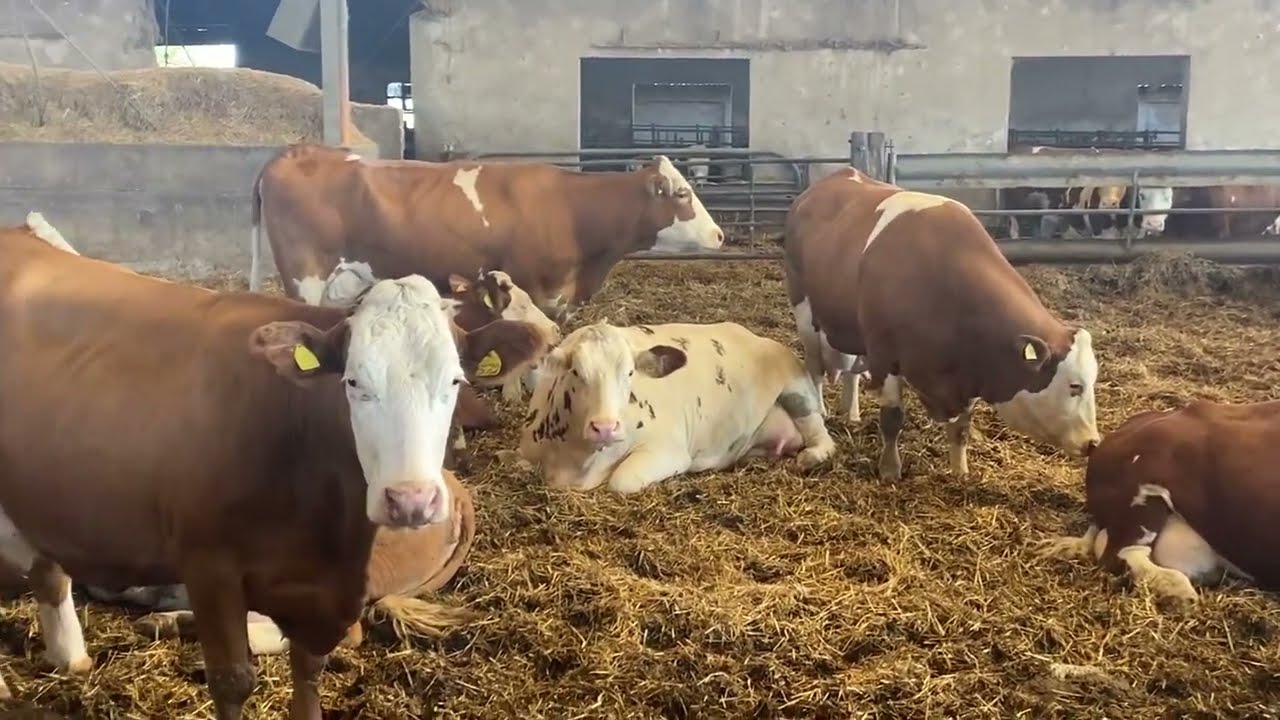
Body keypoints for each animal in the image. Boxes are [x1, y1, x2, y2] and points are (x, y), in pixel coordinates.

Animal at [517, 320, 837, 495]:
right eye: (576, 372)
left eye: (630, 373)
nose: (606, 427)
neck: (578, 463)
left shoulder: (667, 450)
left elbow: (621, 480)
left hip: (798, 392)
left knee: (822, 436)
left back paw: (811, 456)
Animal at [784, 167, 1101, 483]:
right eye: (1075, 386)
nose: (1093, 443)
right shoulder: (887, 356)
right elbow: (892, 419)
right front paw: (890, 469)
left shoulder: (968, 374)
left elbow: (961, 429)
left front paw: (960, 473)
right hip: (805, 313)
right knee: (815, 369)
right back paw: (821, 409)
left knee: (850, 372)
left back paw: (851, 414)